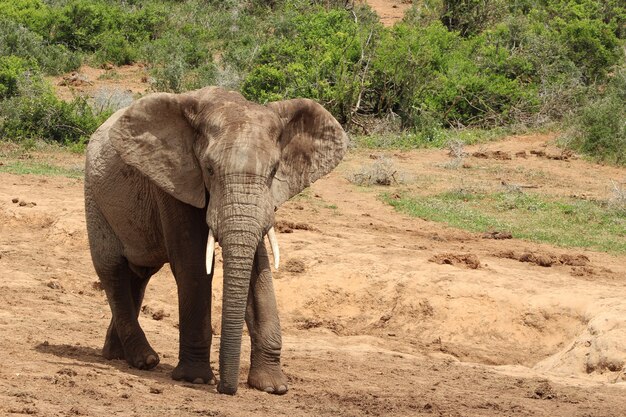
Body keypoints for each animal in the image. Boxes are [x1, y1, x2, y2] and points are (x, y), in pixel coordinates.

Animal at [83, 85, 346, 394]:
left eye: (273, 171)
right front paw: (195, 379)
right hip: (94, 196)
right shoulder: (175, 181)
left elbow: (258, 270)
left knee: (139, 274)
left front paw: (272, 387)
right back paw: (144, 359)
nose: (226, 388)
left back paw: (118, 355)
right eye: (208, 169)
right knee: (112, 270)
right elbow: (194, 266)